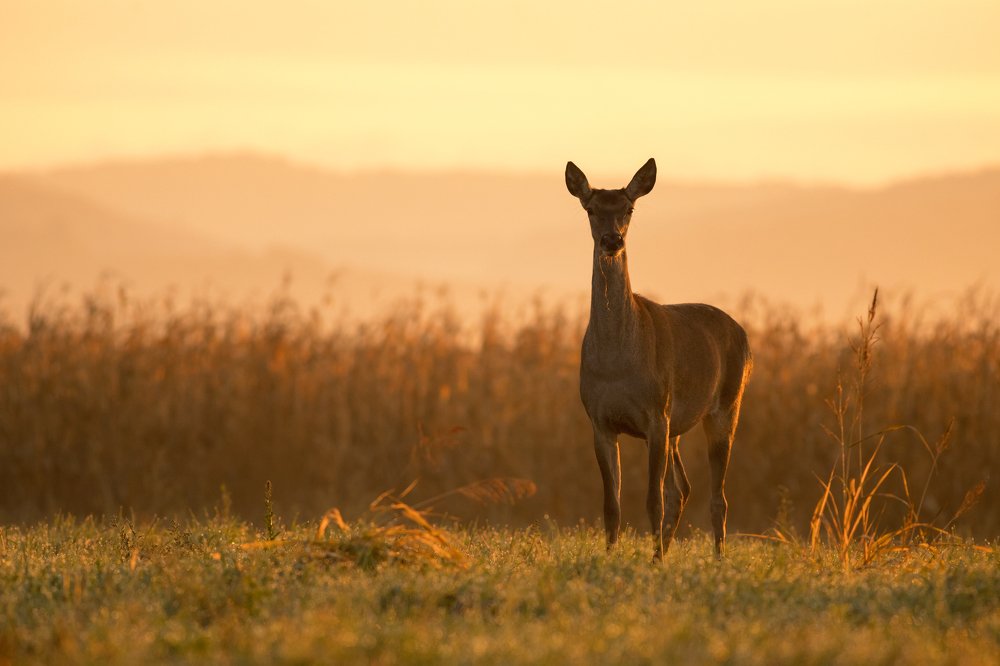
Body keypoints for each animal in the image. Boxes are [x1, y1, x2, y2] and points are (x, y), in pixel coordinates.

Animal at [565, 158, 752, 560]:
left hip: (726, 405)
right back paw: (663, 551)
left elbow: (652, 499)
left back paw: (717, 558)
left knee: (717, 497)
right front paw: (610, 557)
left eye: (629, 208)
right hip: (677, 429)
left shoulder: (656, 414)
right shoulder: (599, 420)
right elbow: (612, 504)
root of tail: (743, 334)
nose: (612, 240)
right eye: (590, 209)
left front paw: (653, 562)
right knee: (683, 488)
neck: (616, 363)